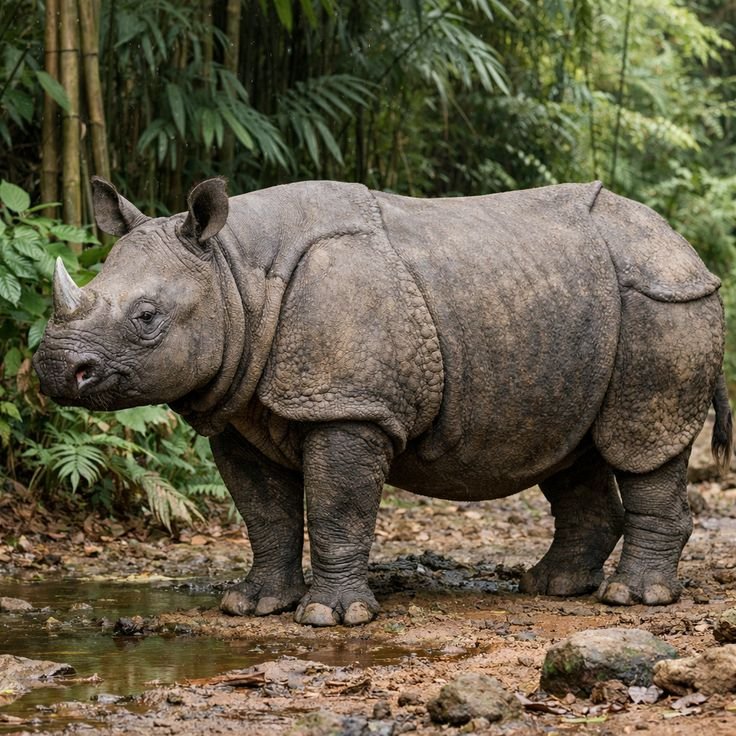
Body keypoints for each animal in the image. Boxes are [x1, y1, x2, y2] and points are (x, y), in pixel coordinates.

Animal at [34, 177, 732, 626]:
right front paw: (254, 605)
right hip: (584, 310)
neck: (234, 274)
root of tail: (687, 249)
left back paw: (631, 600)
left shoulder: (350, 405)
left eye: (147, 318)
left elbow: (338, 504)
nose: (55, 367)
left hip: (663, 299)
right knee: (569, 450)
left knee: (639, 444)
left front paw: (329, 616)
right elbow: (264, 512)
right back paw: (552, 588)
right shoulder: (239, 412)